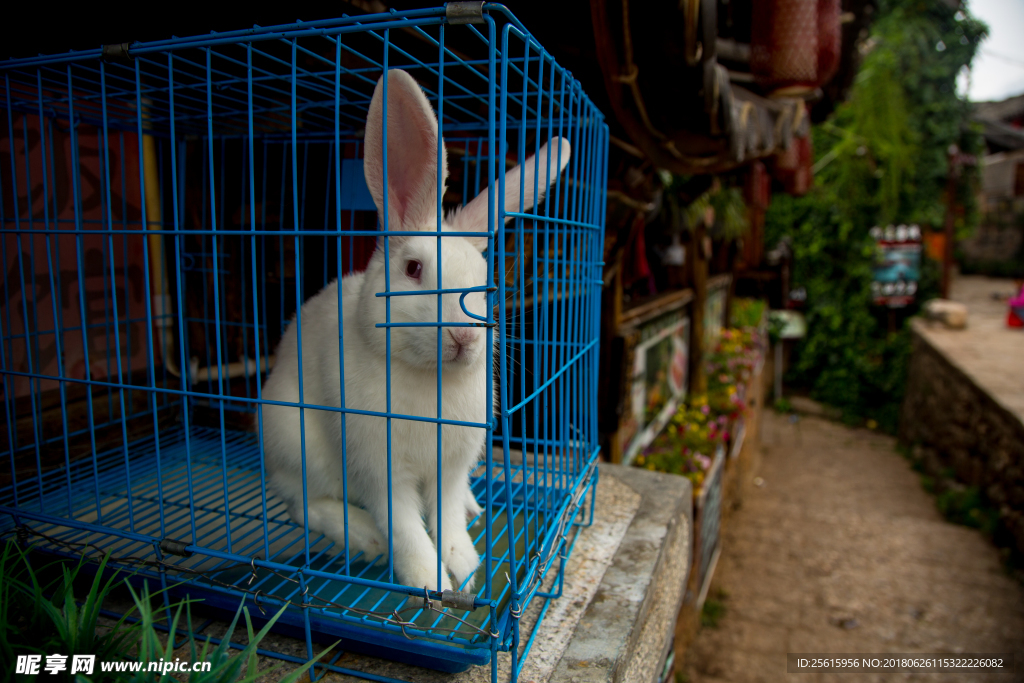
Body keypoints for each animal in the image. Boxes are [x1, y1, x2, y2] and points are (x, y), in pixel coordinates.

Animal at [260, 68, 573, 593]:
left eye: (484, 282)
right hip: (296, 443)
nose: (465, 338)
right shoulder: (381, 470)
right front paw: (430, 582)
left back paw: (471, 507)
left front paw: (463, 566)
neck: (430, 378)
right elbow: (406, 526)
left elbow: (444, 516)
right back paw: (365, 537)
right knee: (302, 506)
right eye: (412, 269)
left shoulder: (451, 467)